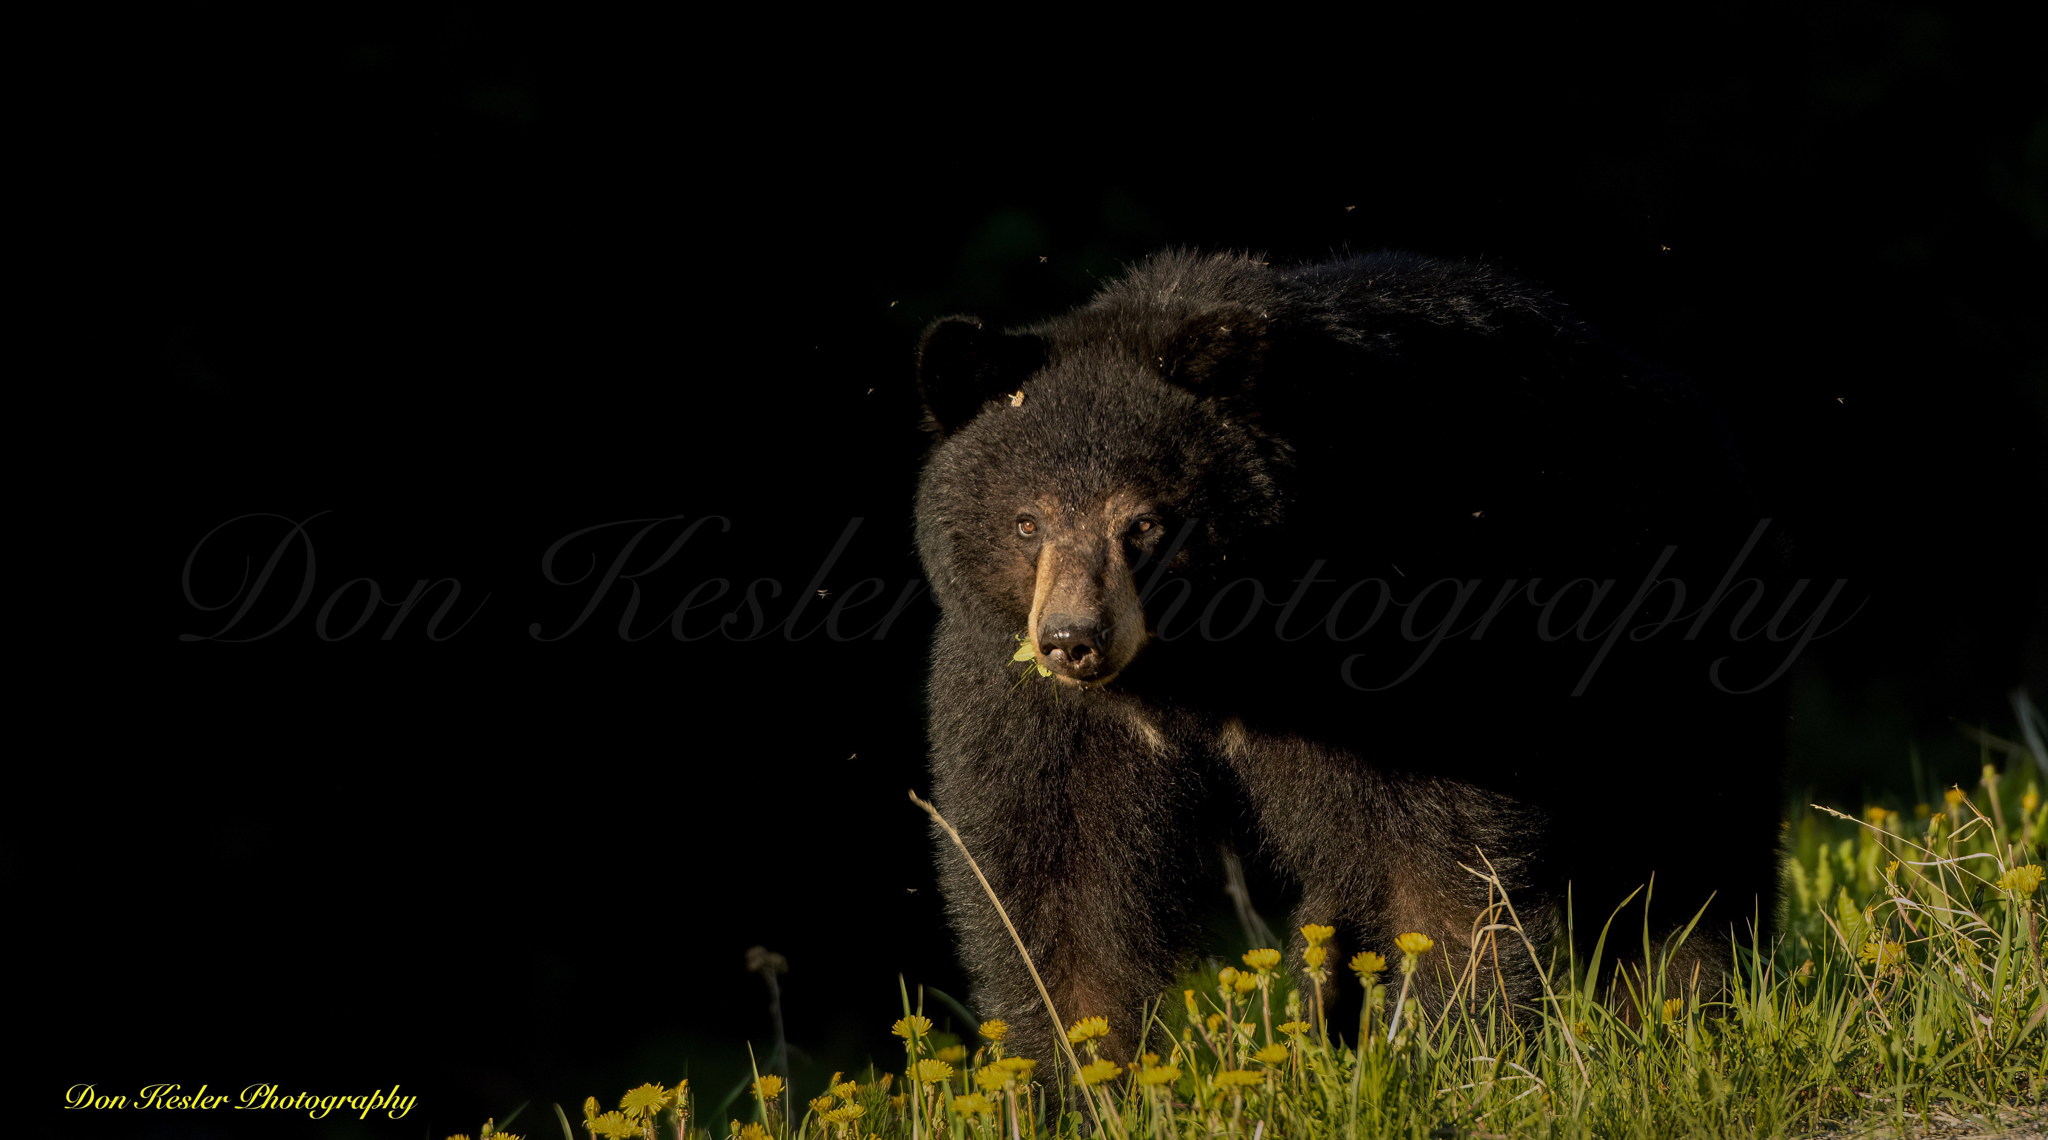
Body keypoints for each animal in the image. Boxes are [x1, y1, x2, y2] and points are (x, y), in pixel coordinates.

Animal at [913, 249, 1791, 1065]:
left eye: (1145, 522)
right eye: (1027, 521)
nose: (1074, 640)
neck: (1208, 652)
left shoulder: (1388, 622)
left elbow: (1440, 845)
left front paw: (1458, 1042)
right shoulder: (1031, 697)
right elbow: (1058, 873)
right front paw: (1081, 1078)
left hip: (1669, 626)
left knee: (1690, 823)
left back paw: (1680, 1010)